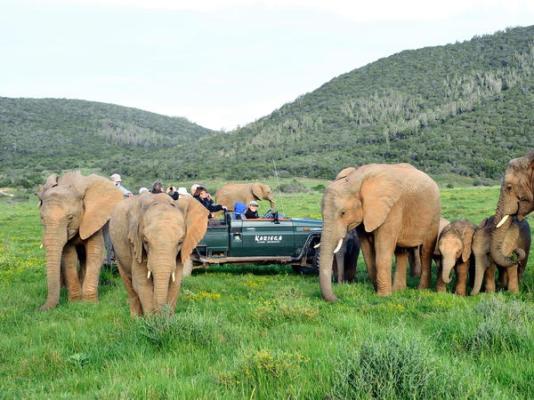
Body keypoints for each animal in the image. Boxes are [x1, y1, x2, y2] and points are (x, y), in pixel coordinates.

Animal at [38, 170, 124, 310]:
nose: (40, 309)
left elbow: (95, 253)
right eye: (41, 218)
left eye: (70, 217)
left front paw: (89, 304)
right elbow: (69, 257)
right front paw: (75, 303)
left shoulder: (94, 218)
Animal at [320, 163, 442, 300]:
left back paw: (421, 290)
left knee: (425, 251)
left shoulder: (392, 208)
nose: (338, 298)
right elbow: (367, 251)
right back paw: (398, 290)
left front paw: (383, 296)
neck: (355, 179)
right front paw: (377, 292)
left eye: (343, 213)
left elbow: (382, 250)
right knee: (400, 252)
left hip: (433, 213)